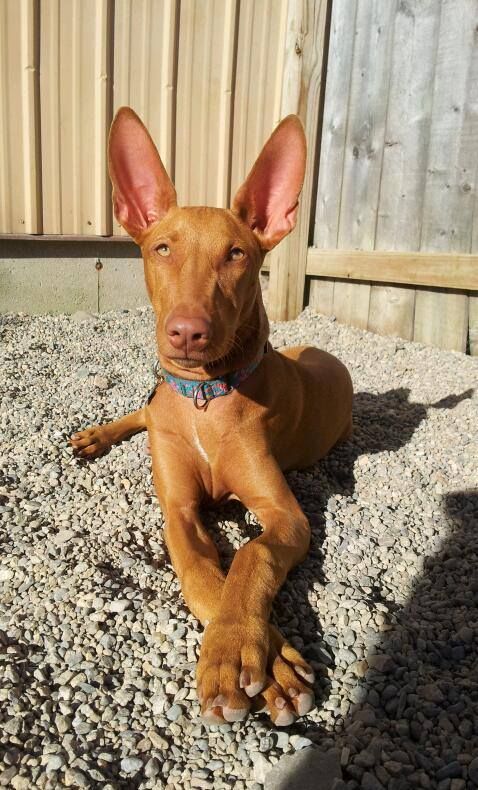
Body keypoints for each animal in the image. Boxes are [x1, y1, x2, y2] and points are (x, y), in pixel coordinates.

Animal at [71, 108, 353, 726]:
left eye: (237, 254)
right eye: (162, 248)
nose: (187, 332)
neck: (203, 399)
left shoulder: (286, 513)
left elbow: (250, 556)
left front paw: (247, 655)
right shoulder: (178, 511)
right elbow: (203, 576)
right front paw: (265, 662)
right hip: (153, 412)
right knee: (142, 412)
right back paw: (97, 435)